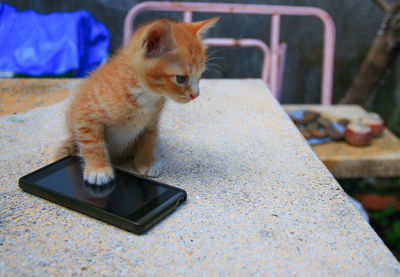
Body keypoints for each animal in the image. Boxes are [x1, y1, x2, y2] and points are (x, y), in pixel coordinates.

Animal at [55, 18, 219, 184]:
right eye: (180, 78)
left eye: (200, 76)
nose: (196, 94)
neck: (144, 93)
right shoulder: (84, 114)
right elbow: (92, 144)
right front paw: (98, 169)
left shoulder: (151, 122)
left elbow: (148, 141)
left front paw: (147, 162)